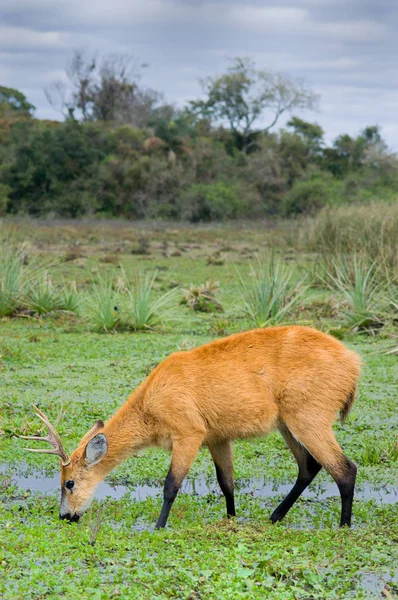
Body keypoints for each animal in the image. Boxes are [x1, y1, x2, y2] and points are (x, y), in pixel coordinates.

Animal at [23, 326, 362, 528]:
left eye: (69, 482)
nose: (65, 516)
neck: (151, 400)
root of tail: (354, 362)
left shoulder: (188, 434)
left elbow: (171, 484)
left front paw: (158, 527)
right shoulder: (217, 437)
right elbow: (226, 483)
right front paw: (231, 519)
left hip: (307, 419)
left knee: (345, 468)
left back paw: (343, 526)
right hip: (287, 425)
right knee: (309, 466)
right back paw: (274, 516)